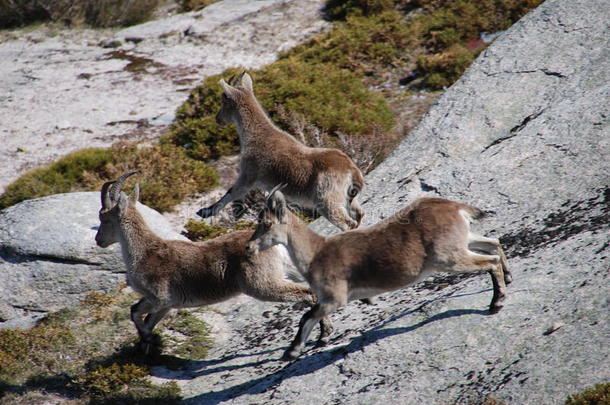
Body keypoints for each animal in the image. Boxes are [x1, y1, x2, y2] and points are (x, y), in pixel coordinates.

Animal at [95, 171, 332, 354]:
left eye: (103, 218)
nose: (99, 240)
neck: (143, 251)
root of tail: (275, 243)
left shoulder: (159, 298)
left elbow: (136, 313)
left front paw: (149, 341)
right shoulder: (167, 304)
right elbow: (144, 318)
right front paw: (146, 346)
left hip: (262, 284)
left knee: (307, 294)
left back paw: (324, 334)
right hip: (287, 271)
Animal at [197, 72, 364, 230]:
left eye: (223, 102)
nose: (218, 119)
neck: (257, 135)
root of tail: (352, 171)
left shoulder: (248, 175)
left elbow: (230, 193)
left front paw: (205, 211)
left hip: (327, 199)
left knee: (347, 223)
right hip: (350, 200)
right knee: (360, 214)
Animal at [245, 187, 510, 360]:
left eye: (266, 224)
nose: (249, 247)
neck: (315, 254)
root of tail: (456, 208)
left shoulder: (335, 298)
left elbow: (306, 316)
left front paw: (291, 351)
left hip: (449, 257)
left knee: (491, 261)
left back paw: (496, 303)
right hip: (463, 242)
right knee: (494, 243)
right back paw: (508, 277)